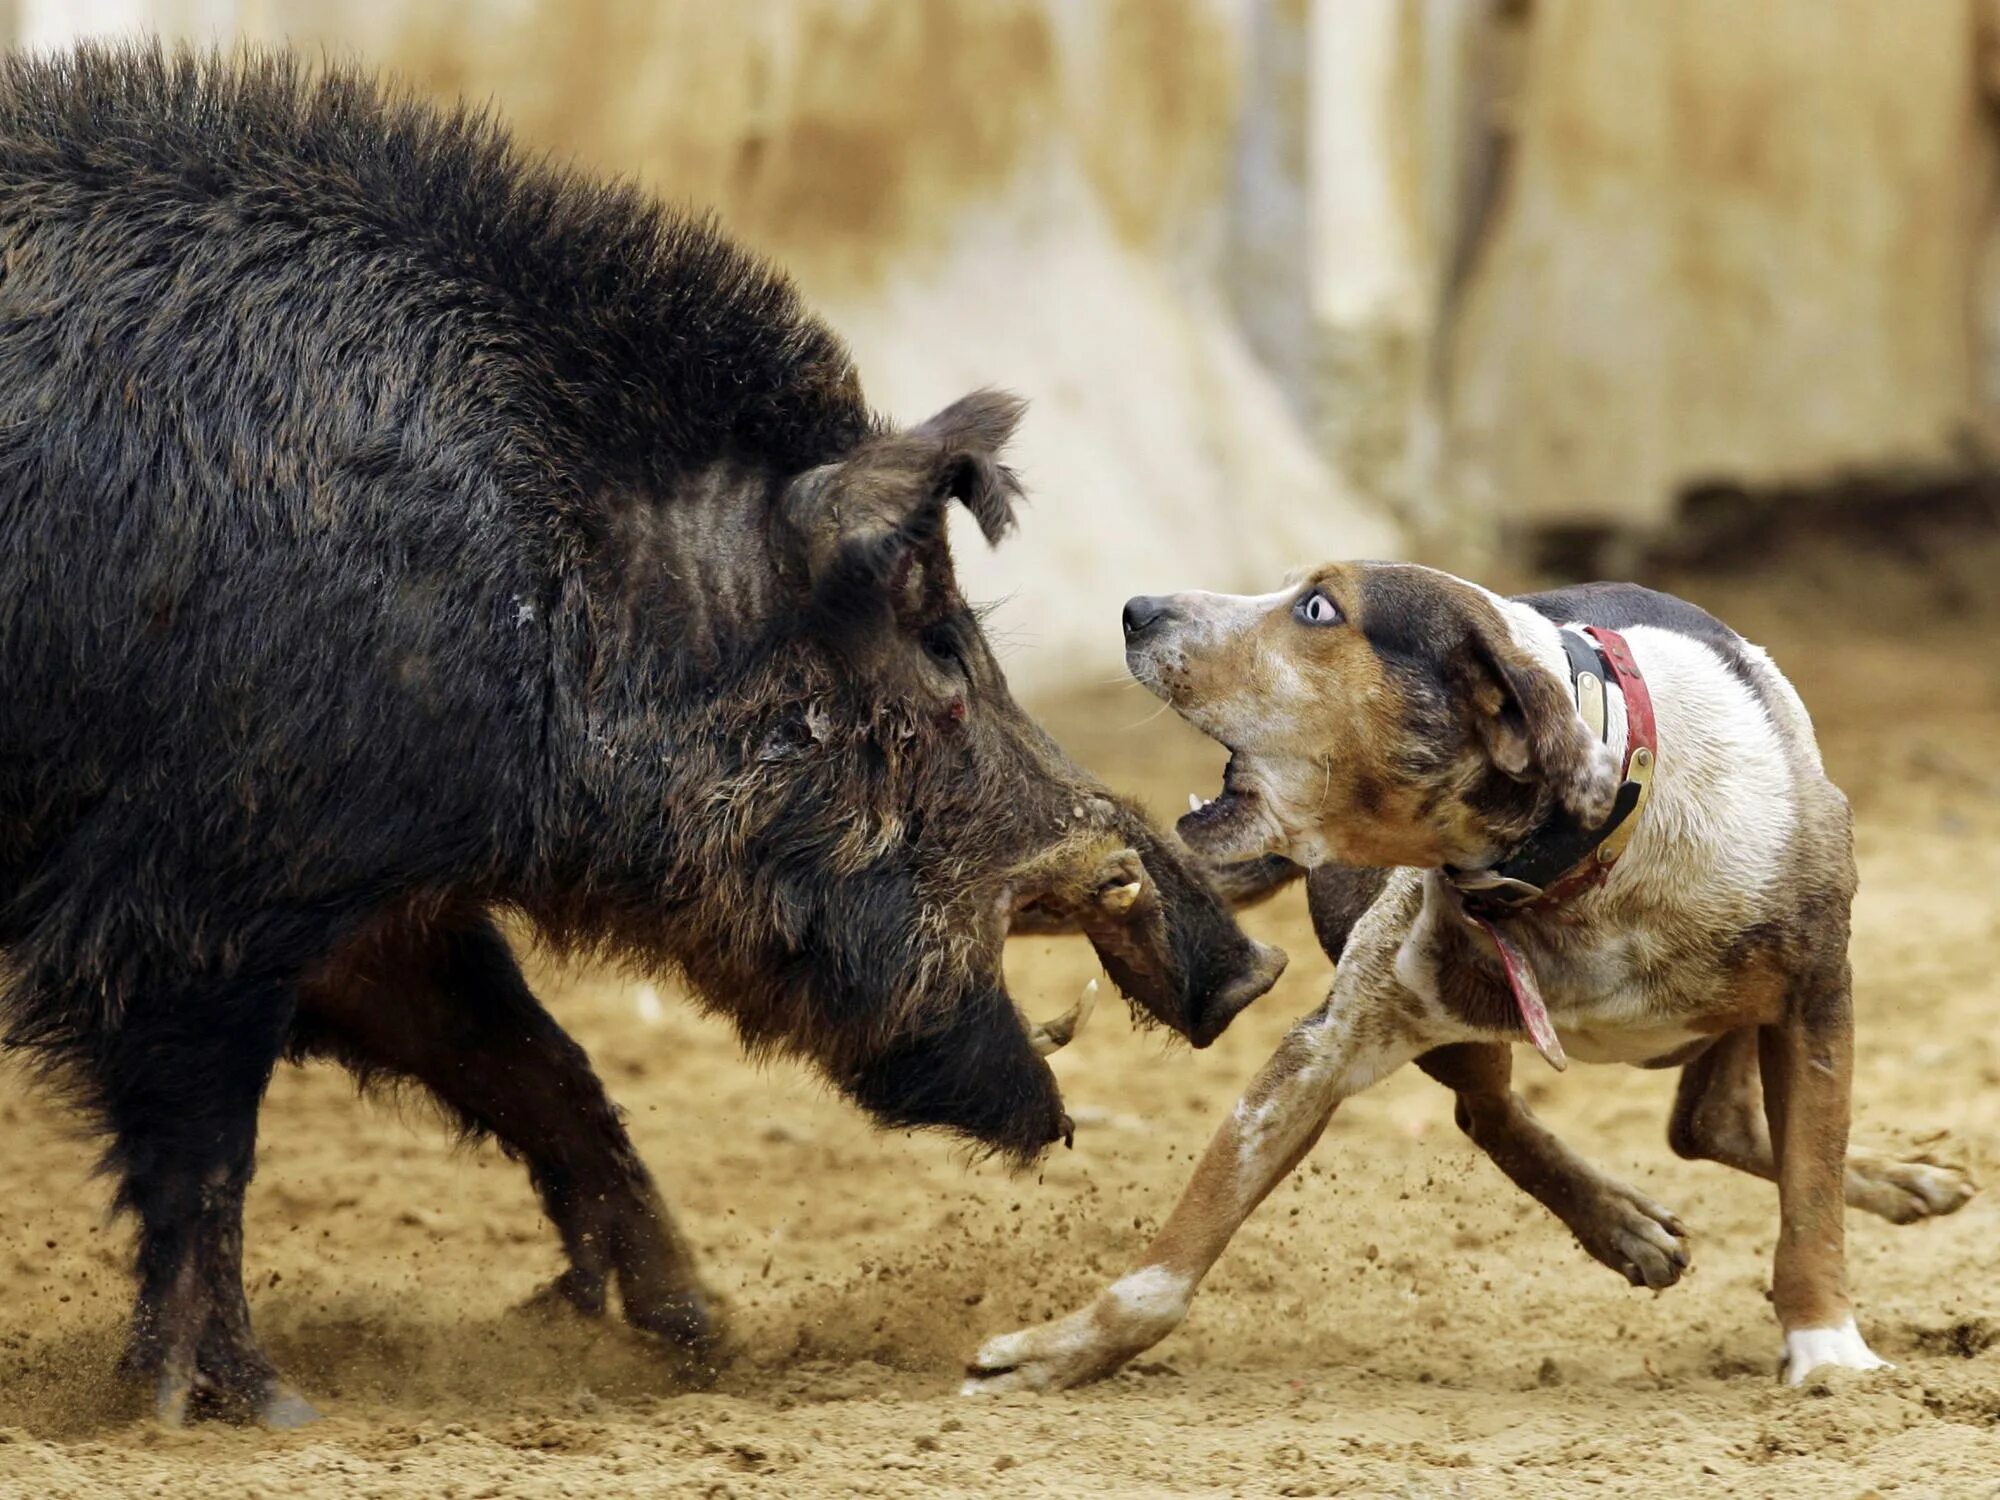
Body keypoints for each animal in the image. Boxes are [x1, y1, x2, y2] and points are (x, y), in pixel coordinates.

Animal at [960, 568, 1976, 1400]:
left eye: (1318, 608)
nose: (1137, 609)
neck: (1574, 865)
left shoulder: (1815, 995)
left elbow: (1811, 1195)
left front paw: (1828, 1348)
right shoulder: (1331, 1042)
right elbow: (1181, 1247)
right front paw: (1065, 1351)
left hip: (1735, 1006)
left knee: (1719, 1123)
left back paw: (1904, 1183)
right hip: (1453, 1019)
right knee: (1505, 1112)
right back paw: (1623, 1224)